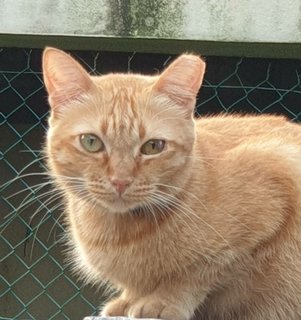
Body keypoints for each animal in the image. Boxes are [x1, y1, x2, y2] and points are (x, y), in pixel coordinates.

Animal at [42, 48, 301, 320]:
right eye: (91, 142)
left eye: (153, 146)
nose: (120, 181)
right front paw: (128, 300)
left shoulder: (278, 173)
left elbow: (196, 274)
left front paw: (162, 301)